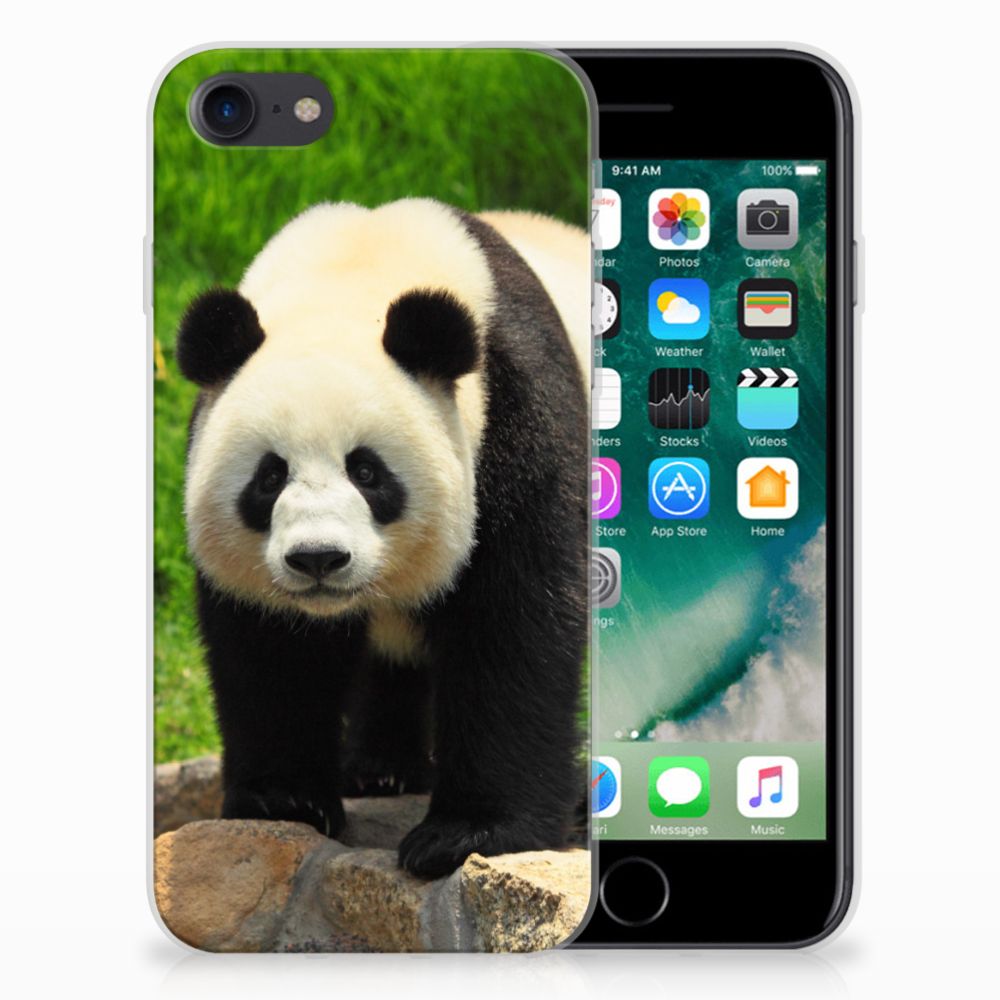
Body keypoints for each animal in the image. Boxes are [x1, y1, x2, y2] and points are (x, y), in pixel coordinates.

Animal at [176, 198, 590, 879]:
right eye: (269, 476)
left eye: (367, 472)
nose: (318, 558)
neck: (355, 271)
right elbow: (271, 648)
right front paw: (283, 799)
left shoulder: (518, 418)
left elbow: (514, 623)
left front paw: (467, 834)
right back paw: (380, 770)